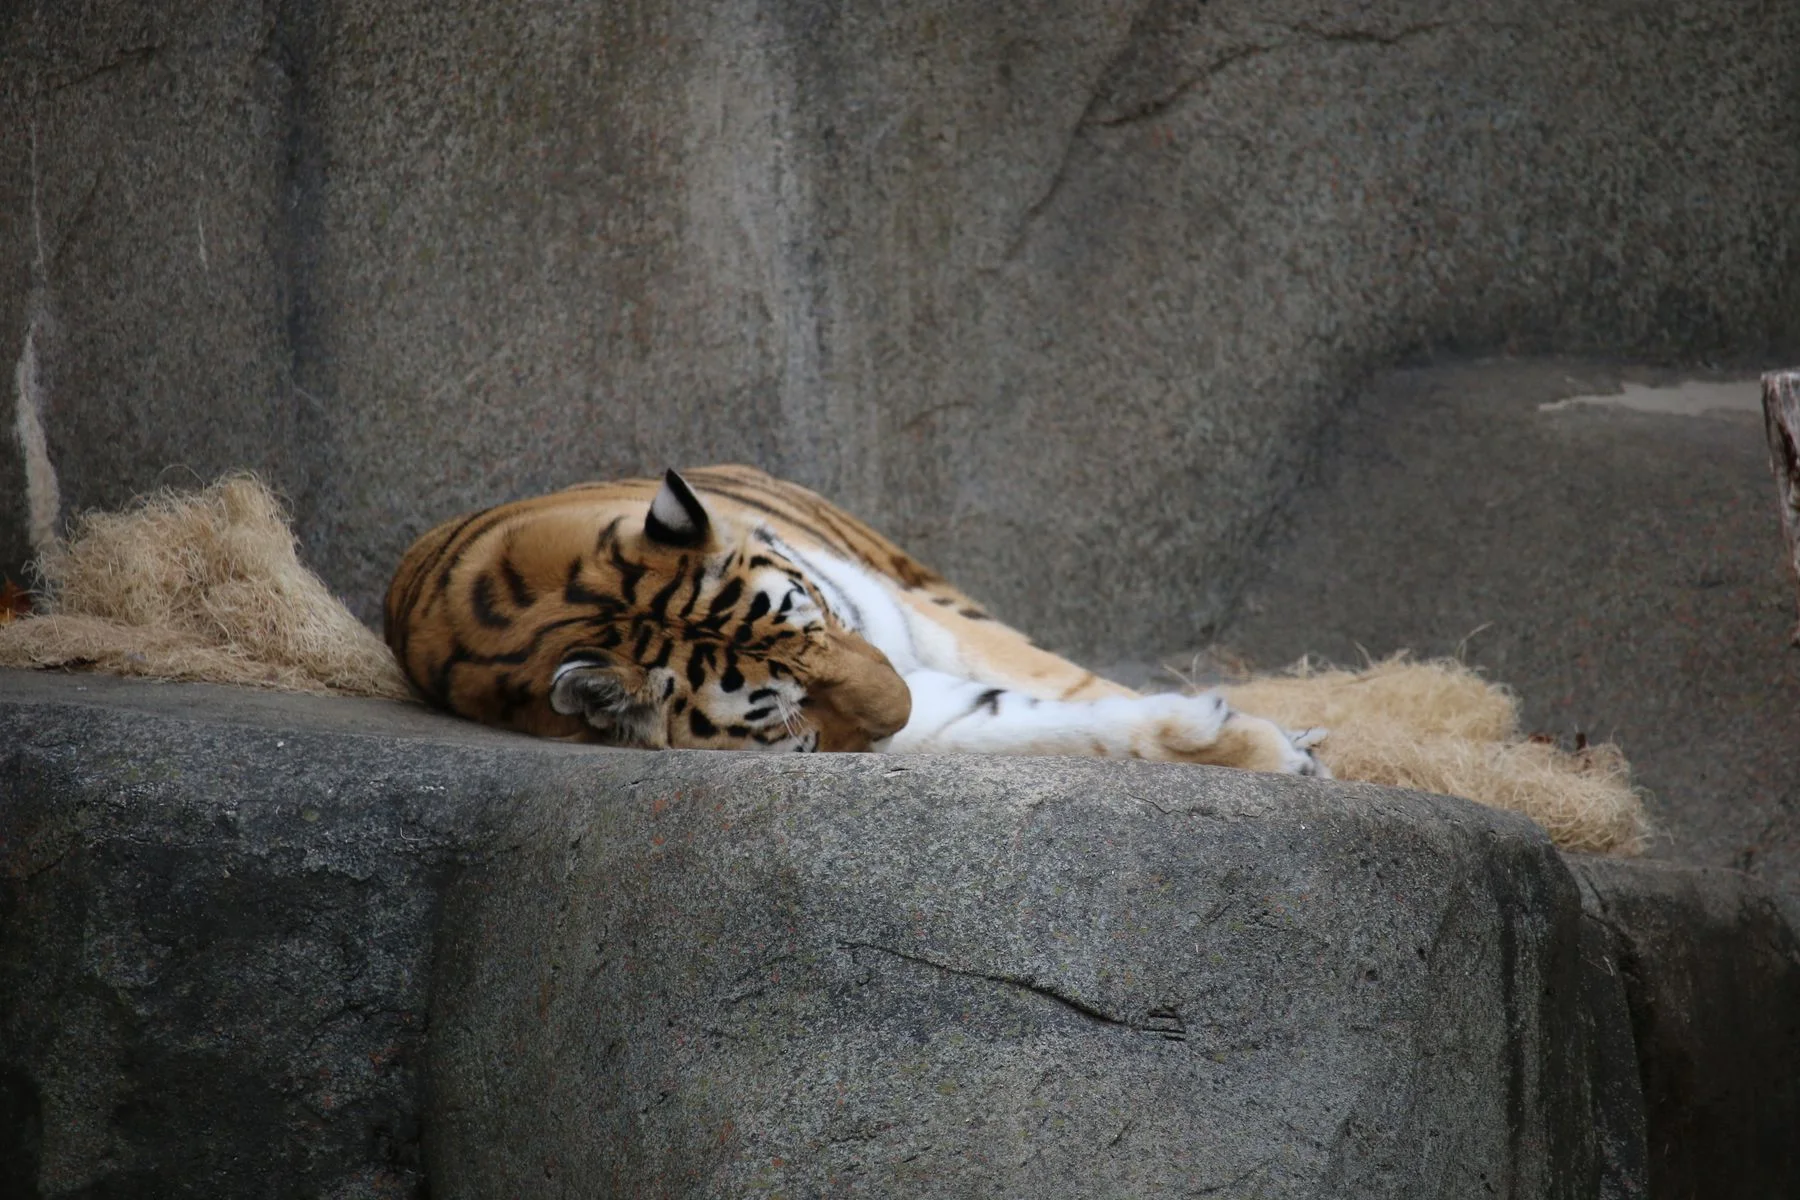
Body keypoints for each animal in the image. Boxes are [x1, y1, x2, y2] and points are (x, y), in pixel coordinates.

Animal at [384, 465, 1327, 775]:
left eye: (822, 615)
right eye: (778, 714)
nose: (899, 700)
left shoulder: (915, 628)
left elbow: (1067, 685)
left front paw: (1287, 743)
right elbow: (1041, 721)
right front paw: (1266, 746)